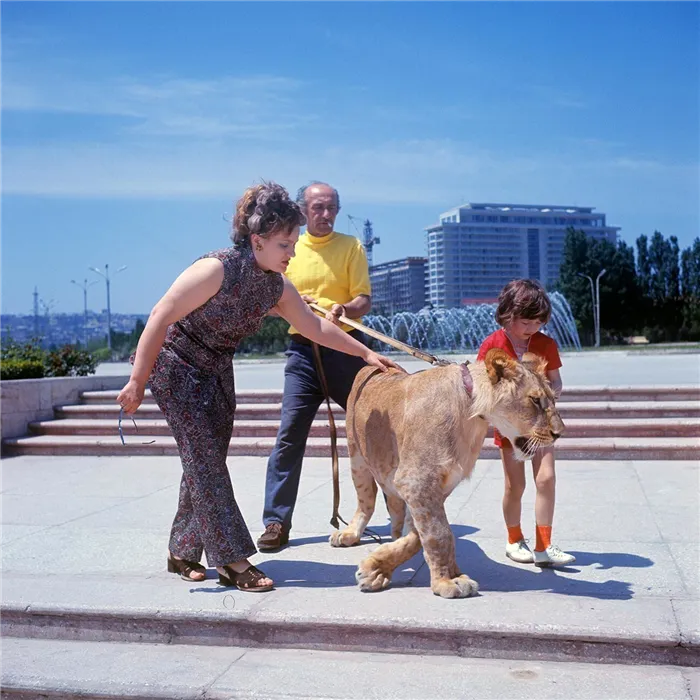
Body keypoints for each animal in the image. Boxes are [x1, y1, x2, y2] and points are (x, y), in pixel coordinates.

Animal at [330, 348, 568, 600]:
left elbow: (421, 537)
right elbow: (439, 534)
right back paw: (349, 534)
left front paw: (378, 566)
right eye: (535, 400)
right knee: (365, 502)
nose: (559, 433)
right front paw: (447, 581)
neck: (471, 415)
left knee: (394, 507)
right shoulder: (416, 481)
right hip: (357, 459)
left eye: (554, 398)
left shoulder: (433, 486)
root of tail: (370, 367)